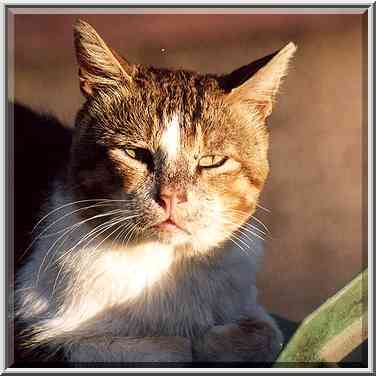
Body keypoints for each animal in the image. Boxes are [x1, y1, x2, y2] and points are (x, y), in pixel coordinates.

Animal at [14, 19, 296, 366]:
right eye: (135, 153)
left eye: (211, 161)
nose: (170, 197)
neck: (166, 262)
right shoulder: (34, 334)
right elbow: (170, 347)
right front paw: (192, 341)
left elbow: (266, 333)